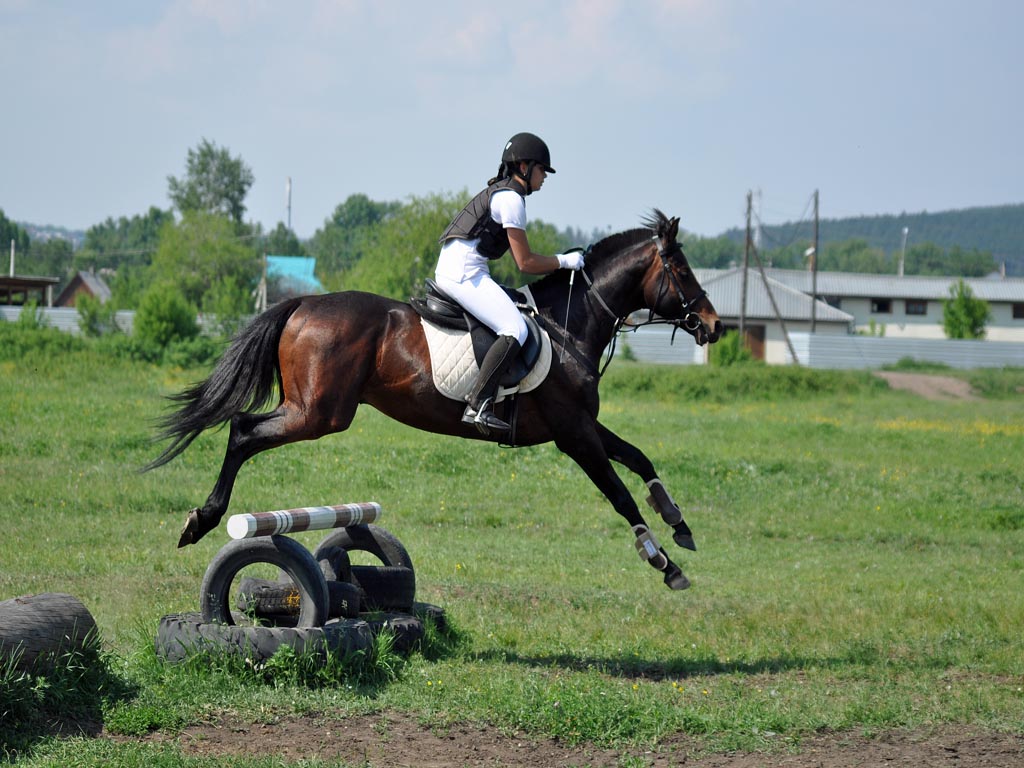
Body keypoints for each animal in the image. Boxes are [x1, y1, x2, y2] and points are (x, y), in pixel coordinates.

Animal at [149, 208, 720, 589]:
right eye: (682, 271)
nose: (713, 325)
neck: (569, 327)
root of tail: (303, 303)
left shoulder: (581, 425)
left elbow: (640, 460)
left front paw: (681, 525)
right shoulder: (573, 435)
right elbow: (620, 495)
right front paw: (664, 563)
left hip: (312, 410)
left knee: (243, 429)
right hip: (318, 414)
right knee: (244, 430)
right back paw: (202, 520)